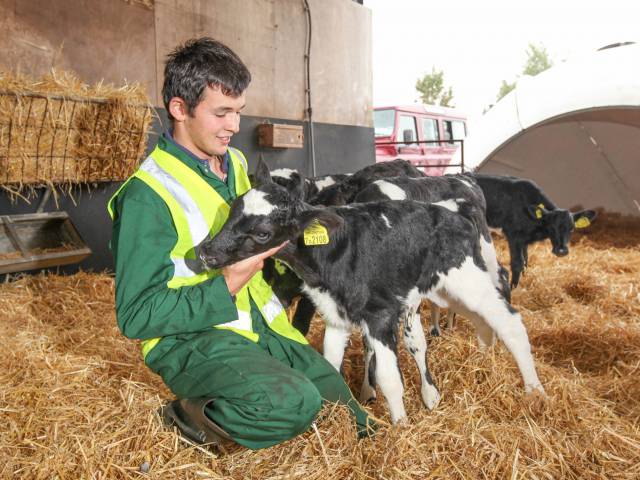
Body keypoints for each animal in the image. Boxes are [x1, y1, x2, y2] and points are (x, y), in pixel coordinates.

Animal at [200, 159, 544, 422]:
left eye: (262, 232)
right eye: (232, 209)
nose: (206, 252)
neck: (332, 250)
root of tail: (453, 210)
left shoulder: (380, 316)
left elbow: (390, 378)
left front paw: (400, 426)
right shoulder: (336, 316)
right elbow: (331, 365)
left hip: (470, 275)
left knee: (509, 321)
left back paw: (534, 389)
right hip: (445, 288)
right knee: (479, 317)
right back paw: (483, 353)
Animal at [468, 176, 596, 288]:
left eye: (572, 228)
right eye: (551, 228)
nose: (561, 250)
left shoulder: (524, 240)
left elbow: (525, 261)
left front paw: (525, 280)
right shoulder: (514, 236)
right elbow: (517, 263)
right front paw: (514, 288)